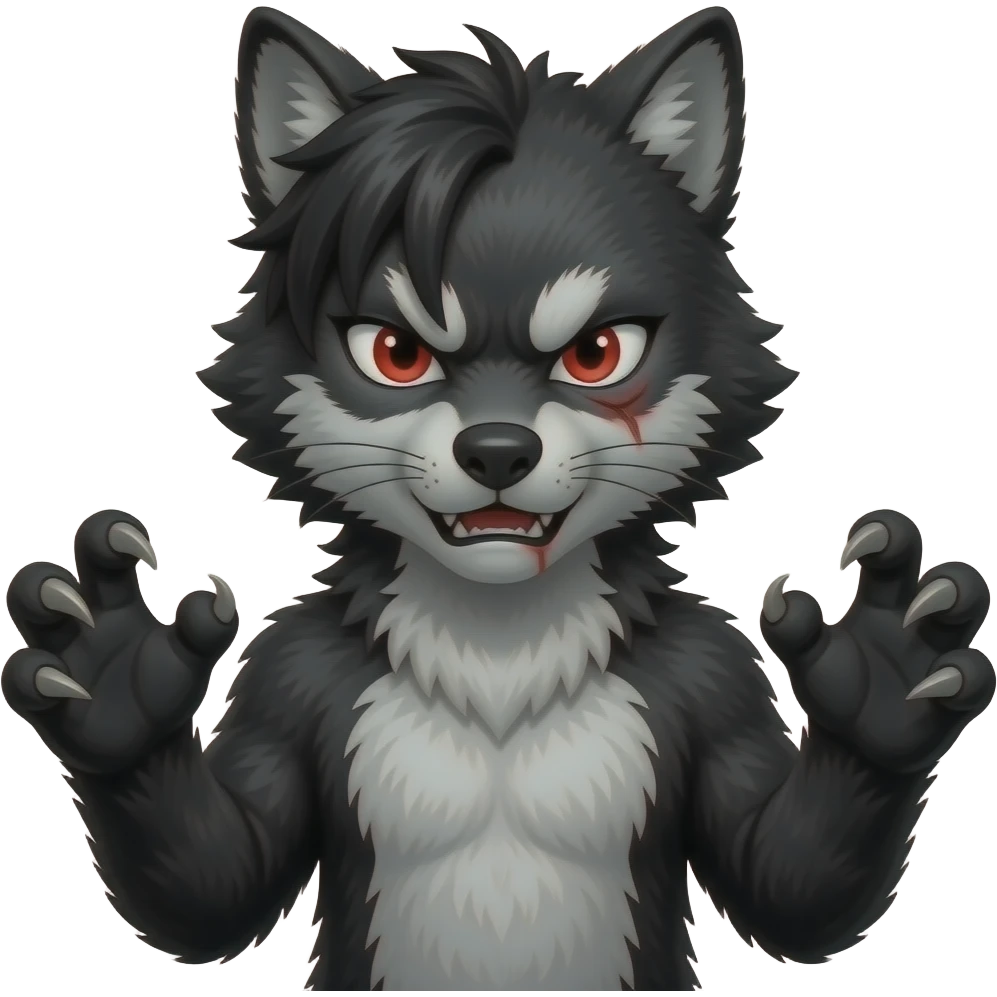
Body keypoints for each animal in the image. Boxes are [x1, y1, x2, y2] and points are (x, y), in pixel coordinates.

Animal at [2, 6, 993, 992]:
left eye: (597, 354)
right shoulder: (291, 674)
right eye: (395, 353)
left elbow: (787, 887)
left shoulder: (709, 672)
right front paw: (118, 683)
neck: (499, 647)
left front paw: (881, 680)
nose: (497, 450)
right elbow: (216, 890)